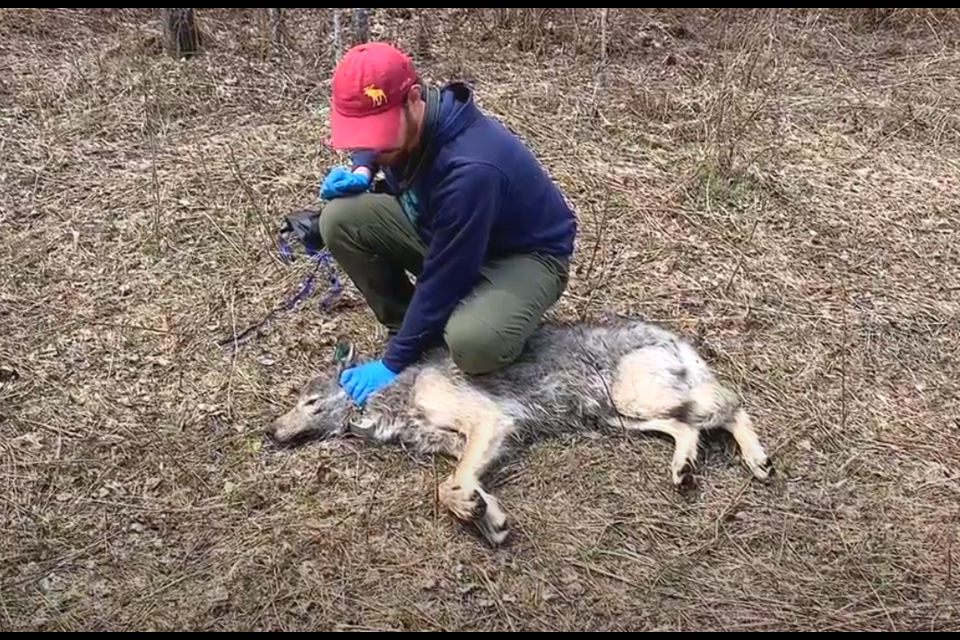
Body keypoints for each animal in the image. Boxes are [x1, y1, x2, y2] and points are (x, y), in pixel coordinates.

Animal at [266, 312, 776, 548]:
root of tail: (673, 336)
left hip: (637, 400)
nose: (270, 431)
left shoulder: (491, 422)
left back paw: (758, 461)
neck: (391, 397)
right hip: (622, 416)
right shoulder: (468, 445)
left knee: (729, 406)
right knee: (687, 427)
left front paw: (476, 514)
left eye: (309, 403)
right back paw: (684, 468)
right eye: (297, 402)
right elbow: (458, 485)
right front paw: (487, 520)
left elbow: (446, 487)